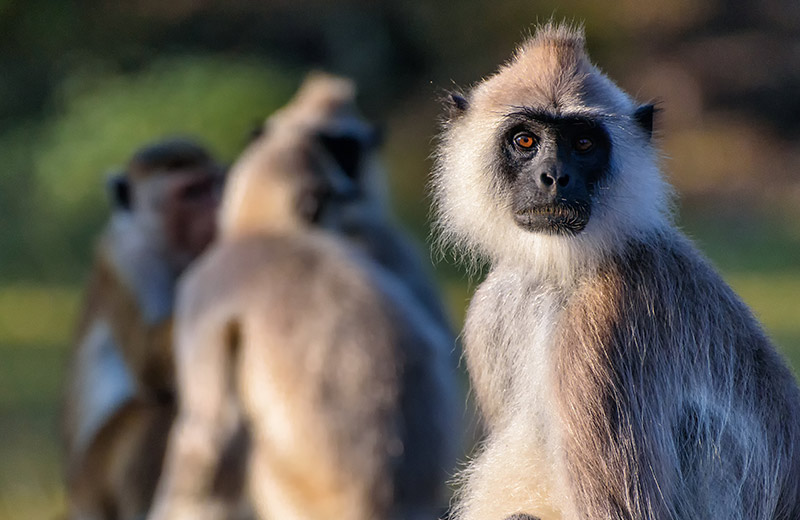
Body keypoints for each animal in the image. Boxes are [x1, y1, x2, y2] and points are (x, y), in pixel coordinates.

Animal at [61, 138, 225, 520]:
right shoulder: (128, 259)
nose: (217, 208)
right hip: (93, 479)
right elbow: (147, 359)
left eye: (213, 185)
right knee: (154, 409)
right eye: (191, 192)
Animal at [150, 74, 460, 520]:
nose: (350, 195)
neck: (266, 232)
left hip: (285, 487)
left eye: (346, 158)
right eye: (335, 187)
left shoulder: (202, 290)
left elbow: (208, 435)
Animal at [432, 22, 800, 520]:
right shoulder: (492, 305)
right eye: (525, 141)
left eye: (583, 143)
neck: (559, 275)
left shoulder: (606, 318)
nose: (555, 176)